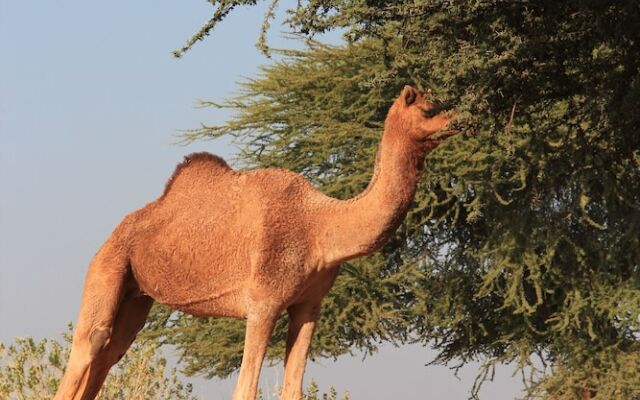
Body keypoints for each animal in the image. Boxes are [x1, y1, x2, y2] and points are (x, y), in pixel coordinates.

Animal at [55, 86, 456, 398]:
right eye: (428, 108)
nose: (458, 118)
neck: (322, 226)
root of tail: (116, 231)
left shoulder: (309, 305)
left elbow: (292, 389)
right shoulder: (263, 301)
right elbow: (245, 388)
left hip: (137, 296)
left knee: (111, 352)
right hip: (108, 265)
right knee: (88, 346)